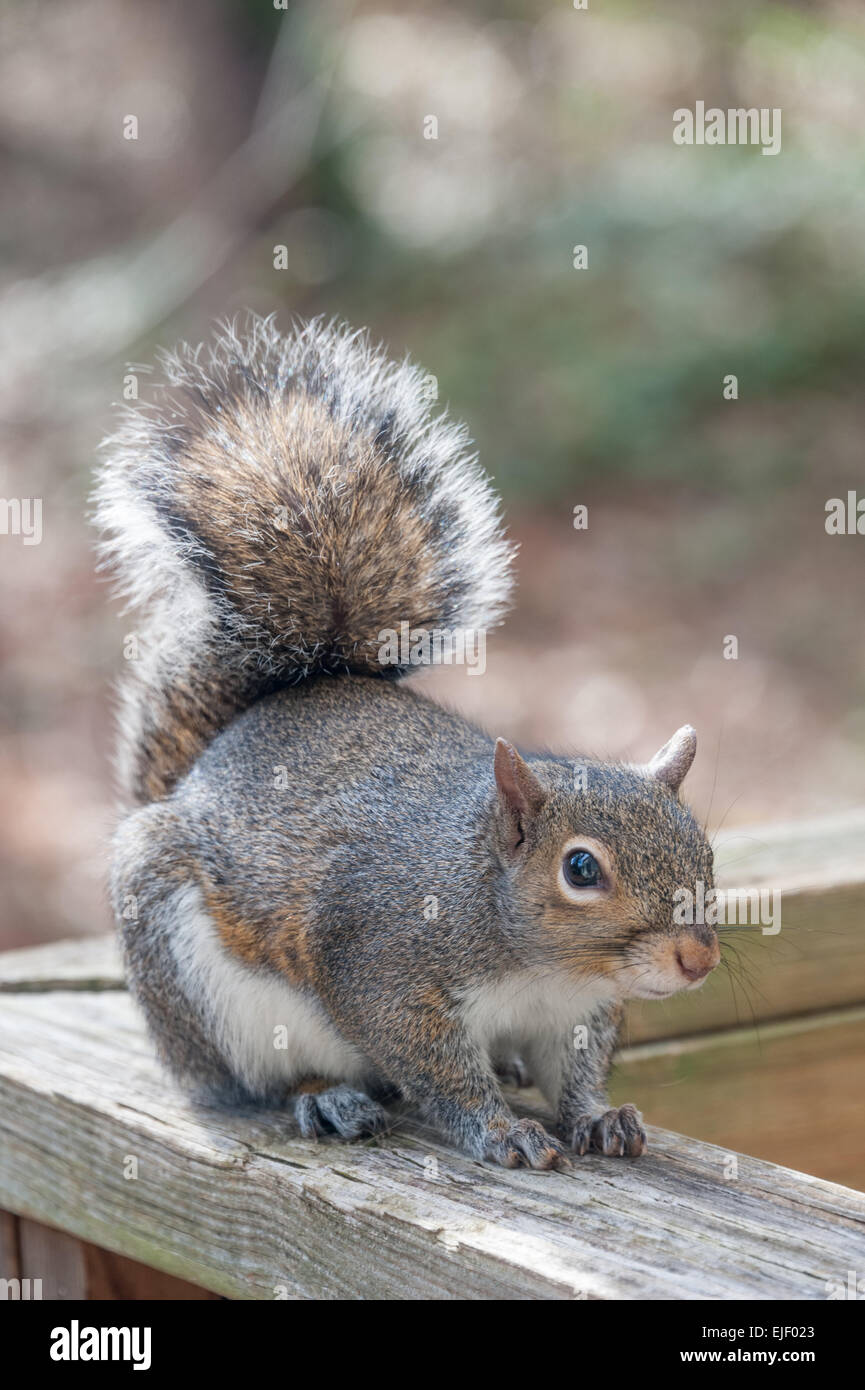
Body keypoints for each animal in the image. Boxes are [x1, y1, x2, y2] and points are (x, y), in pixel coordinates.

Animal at [94, 318, 723, 1173]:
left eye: (704, 851)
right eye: (580, 870)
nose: (697, 959)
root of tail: (197, 768)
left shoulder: (576, 1011)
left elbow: (576, 1069)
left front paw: (596, 1116)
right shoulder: (382, 966)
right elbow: (432, 1065)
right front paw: (498, 1130)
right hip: (197, 985)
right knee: (256, 1083)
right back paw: (325, 1097)